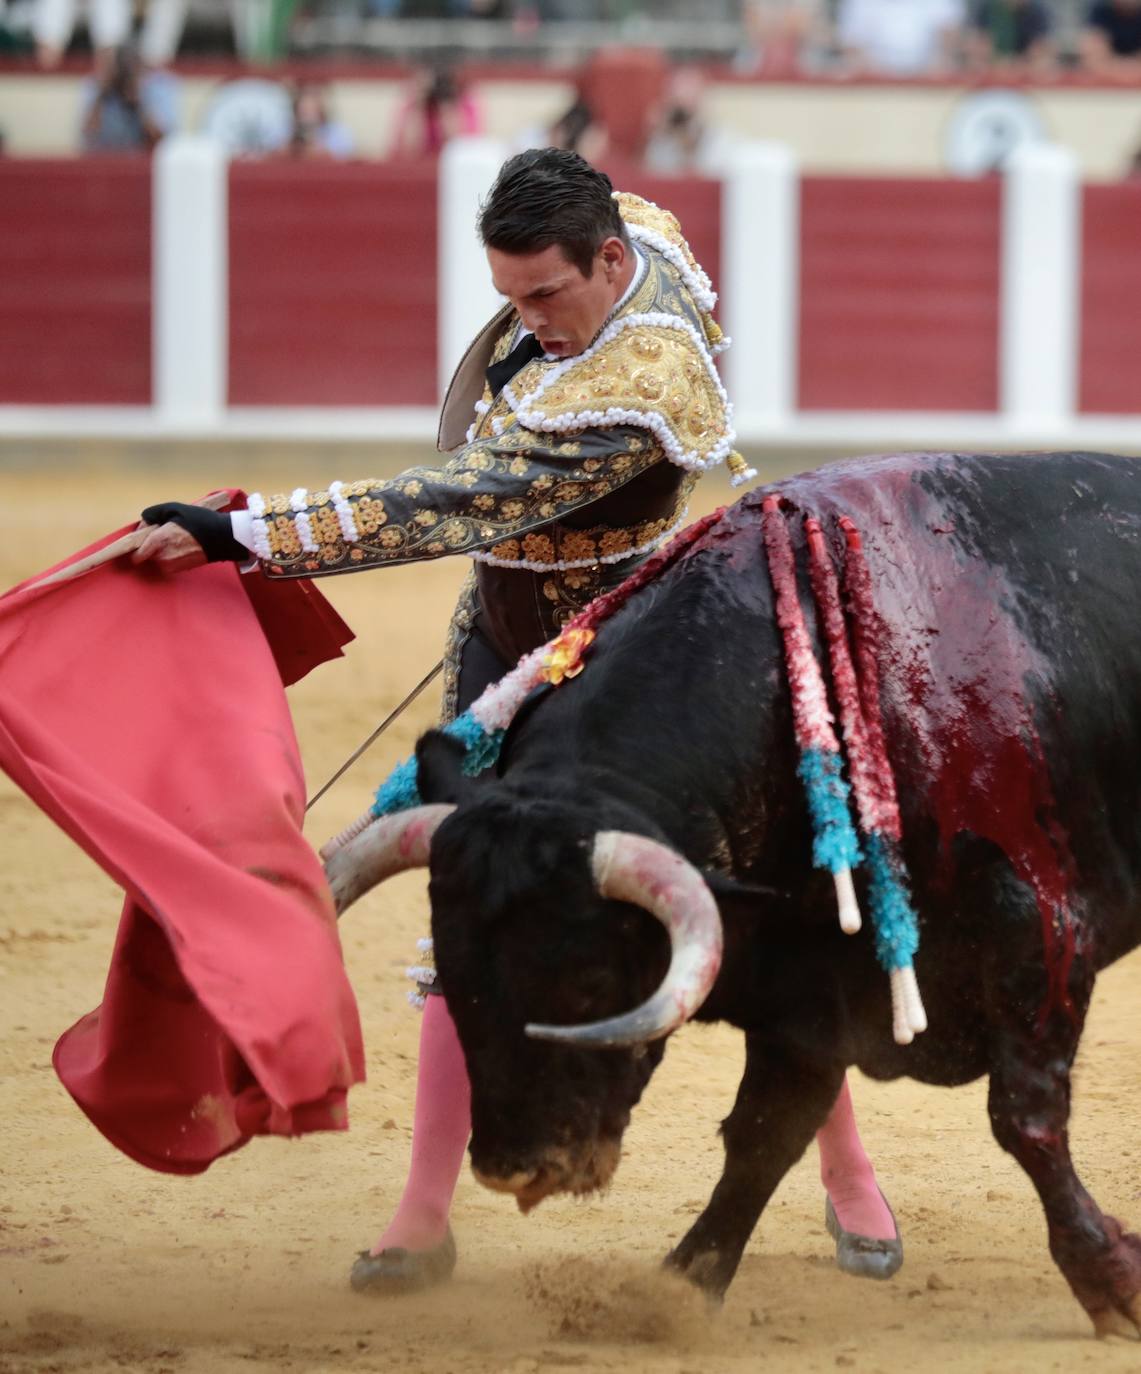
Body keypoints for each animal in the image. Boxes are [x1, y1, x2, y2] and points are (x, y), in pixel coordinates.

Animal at [324, 453, 1141, 1341]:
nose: (515, 1168)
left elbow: (1024, 1118)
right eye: (457, 979)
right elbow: (762, 1133)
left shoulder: (1039, 931)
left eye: (589, 982)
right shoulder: (809, 985)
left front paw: (1111, 1281)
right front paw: (681, 1288)